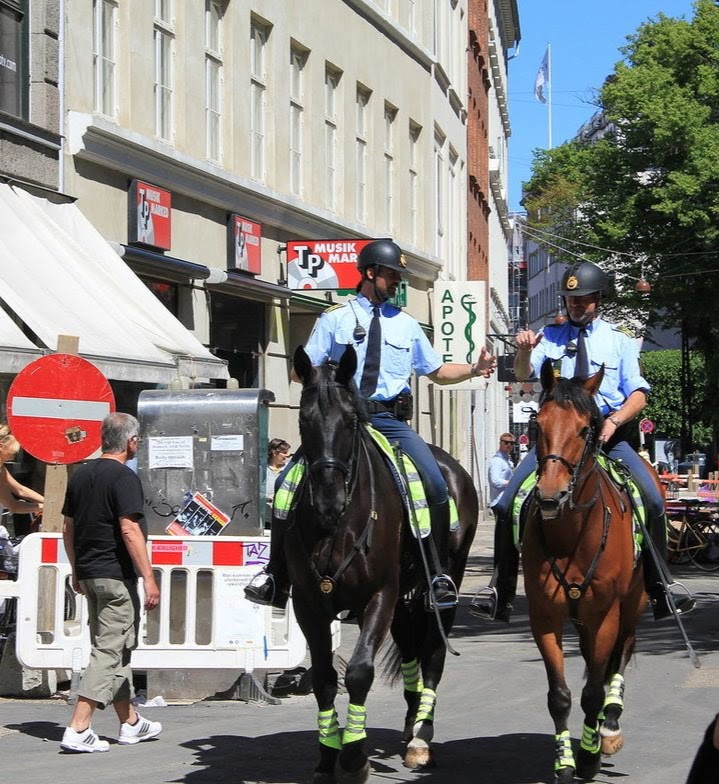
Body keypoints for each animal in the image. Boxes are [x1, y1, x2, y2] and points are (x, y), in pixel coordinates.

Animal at [286, 346, 478, 780]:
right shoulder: (309, 604)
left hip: (440, 589)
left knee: (433, 654)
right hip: (406, 598)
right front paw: (327, 755)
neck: (338, 525)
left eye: (350, 420)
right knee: (409, 648)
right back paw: (410, 725)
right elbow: (324, 678)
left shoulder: (379, 595)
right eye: (303, 419)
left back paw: (422, 738)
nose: (328, 501)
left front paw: (354, 756)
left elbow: (359, 672)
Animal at [524, 362, 648, 784]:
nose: (550, 496)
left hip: (633, 603)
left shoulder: (605, 613)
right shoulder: (544, 616)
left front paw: (591, 756)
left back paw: (608, 728)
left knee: (621, 653)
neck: (572, 533)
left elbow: (594, 690)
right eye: (537, 425)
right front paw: (564, 762)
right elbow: (560, 696)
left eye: (584, 429)